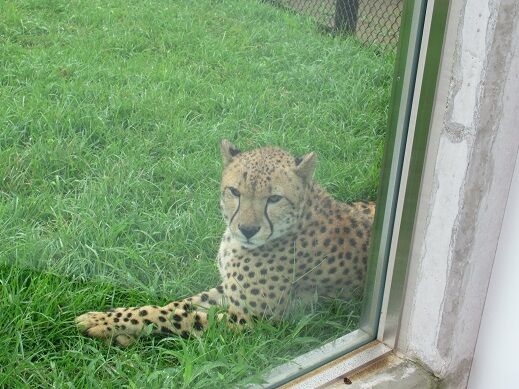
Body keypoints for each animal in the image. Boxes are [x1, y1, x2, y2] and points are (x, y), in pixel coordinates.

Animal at [75, 138, 376, 344]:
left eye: (274, 198)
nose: (248, 229)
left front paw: (109, 323)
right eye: (235, 192)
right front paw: (112, 319)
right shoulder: (230, 293)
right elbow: (177, 305)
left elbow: (178, 317)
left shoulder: (252, 320)